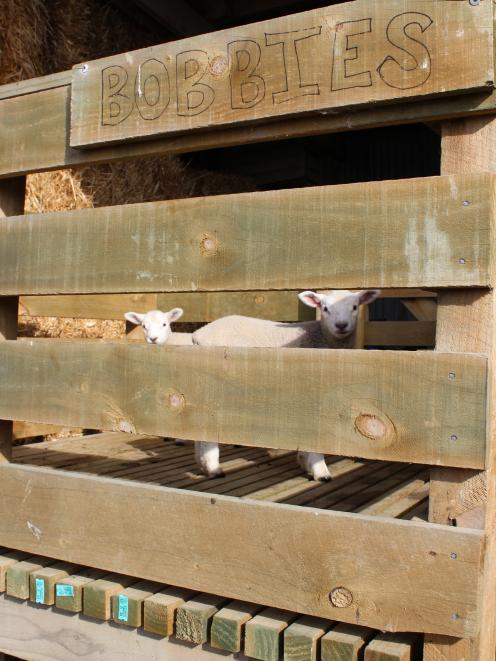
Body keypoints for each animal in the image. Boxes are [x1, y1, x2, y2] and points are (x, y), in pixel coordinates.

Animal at [193, 288, 380, 480]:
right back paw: (213, 468)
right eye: (325, 308)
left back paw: (203, 464)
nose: (341, 325)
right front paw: (319, 469)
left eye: (355, 306)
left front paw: (305, 462)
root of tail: (198, 335)